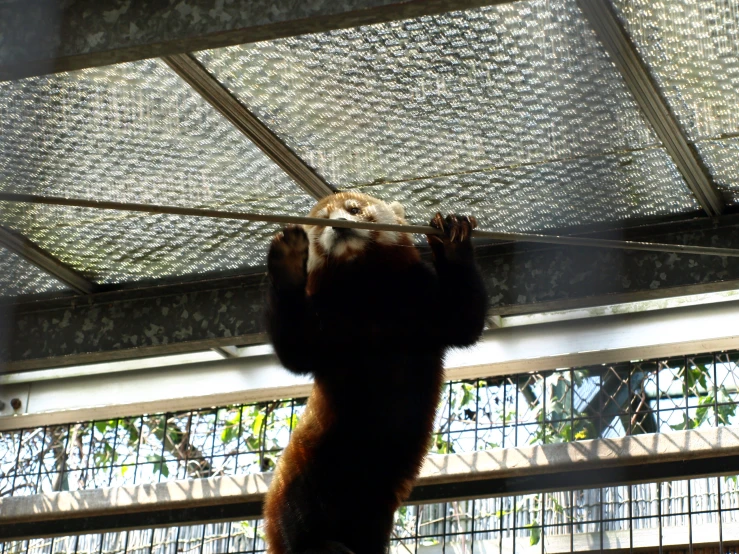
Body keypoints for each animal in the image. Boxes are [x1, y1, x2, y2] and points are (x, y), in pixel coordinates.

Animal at [264, 191, 488, 552]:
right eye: (321, 222)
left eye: (353, 209)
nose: (339, 225)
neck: (369, 295)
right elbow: (294, 352)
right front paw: (287, 262)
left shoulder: (424, 302)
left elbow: (466, 320)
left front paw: (453, 238)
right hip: (303, 475)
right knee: (298, 519)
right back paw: (319, 545)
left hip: (376, 505)